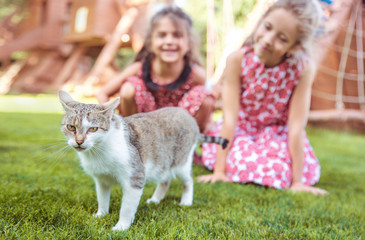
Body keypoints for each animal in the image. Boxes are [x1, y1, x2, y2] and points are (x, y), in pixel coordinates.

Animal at [57, 90, 228, 231]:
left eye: (93, 129)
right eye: (71, 127)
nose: (79, 141)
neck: (98, 152)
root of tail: (190, 118)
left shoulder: (135, 176)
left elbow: (127, 207)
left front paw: (121, 227)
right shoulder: (101, 179)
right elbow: (102, 198)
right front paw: (101, 214)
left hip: (181, 162)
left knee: (188, 181)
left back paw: (186, 202)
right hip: (163, 162)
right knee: (165, 180)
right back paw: (155, 199)